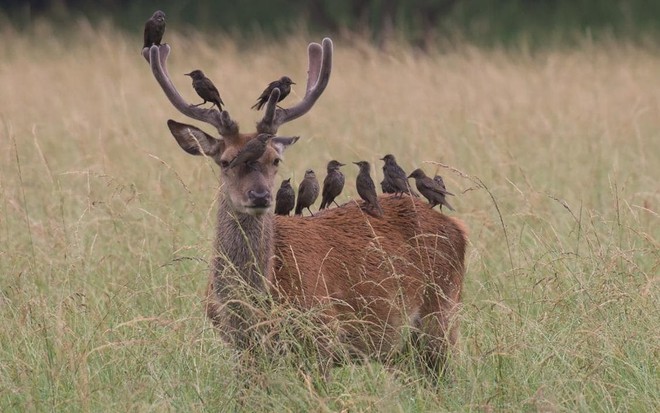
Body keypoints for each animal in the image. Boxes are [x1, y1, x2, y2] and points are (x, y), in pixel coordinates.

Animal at [142, 38, 466, 380]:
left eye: (275, 160)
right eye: (226, 161)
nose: (260, 196)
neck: (254, 304)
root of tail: (459, 228)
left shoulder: (323, 335)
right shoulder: (240, 348)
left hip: (442, 313)